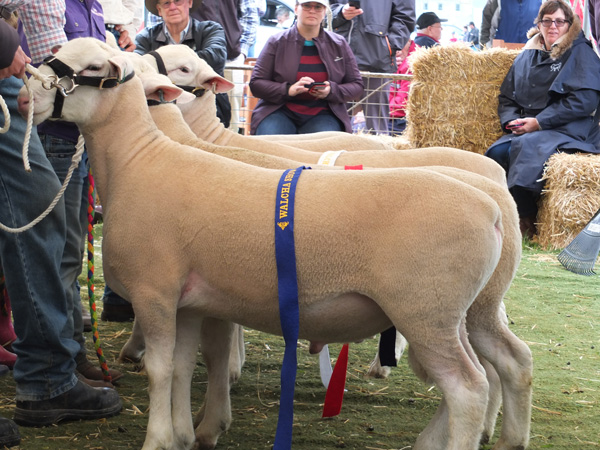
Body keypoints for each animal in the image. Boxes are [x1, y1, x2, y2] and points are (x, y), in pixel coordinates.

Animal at [21, 39, 532, 450]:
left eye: (92, 68)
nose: (27, 94)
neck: (139, 158)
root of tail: (490, 206)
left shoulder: (155, 292)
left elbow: (161, 370)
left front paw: (161, 438)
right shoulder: (190, 301)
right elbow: (185, 367)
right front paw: (188, 433)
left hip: (427, 310)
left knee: (467, 386)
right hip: (467, 310)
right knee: (509, 362)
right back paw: (502, 439)